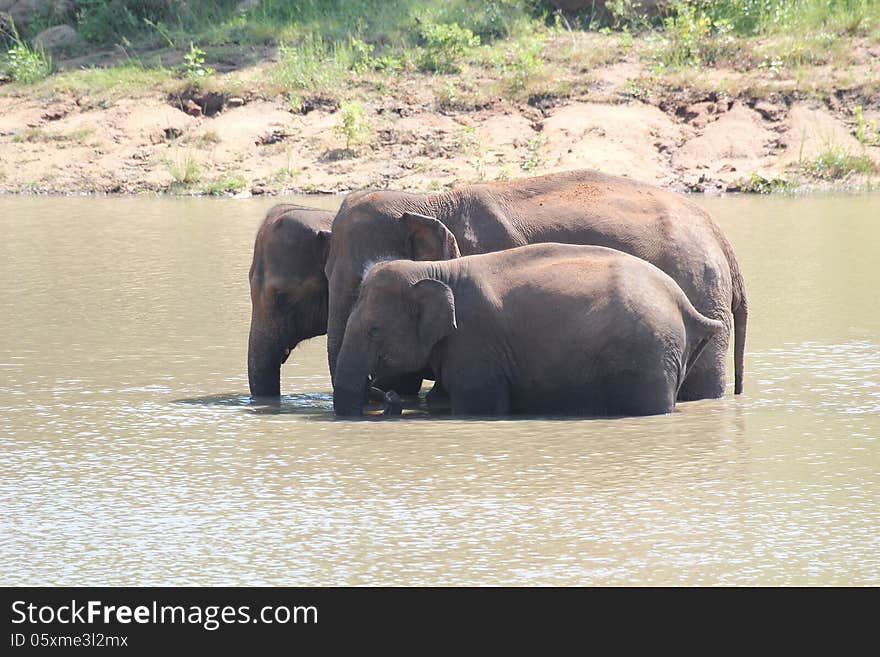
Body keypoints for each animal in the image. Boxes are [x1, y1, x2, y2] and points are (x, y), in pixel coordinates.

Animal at [334, 243, 724, 418]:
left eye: (374, 331)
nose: (388, 395)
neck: (434, 269)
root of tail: (684, 304)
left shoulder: (475, 344)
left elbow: (478, 406)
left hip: (647, 354)